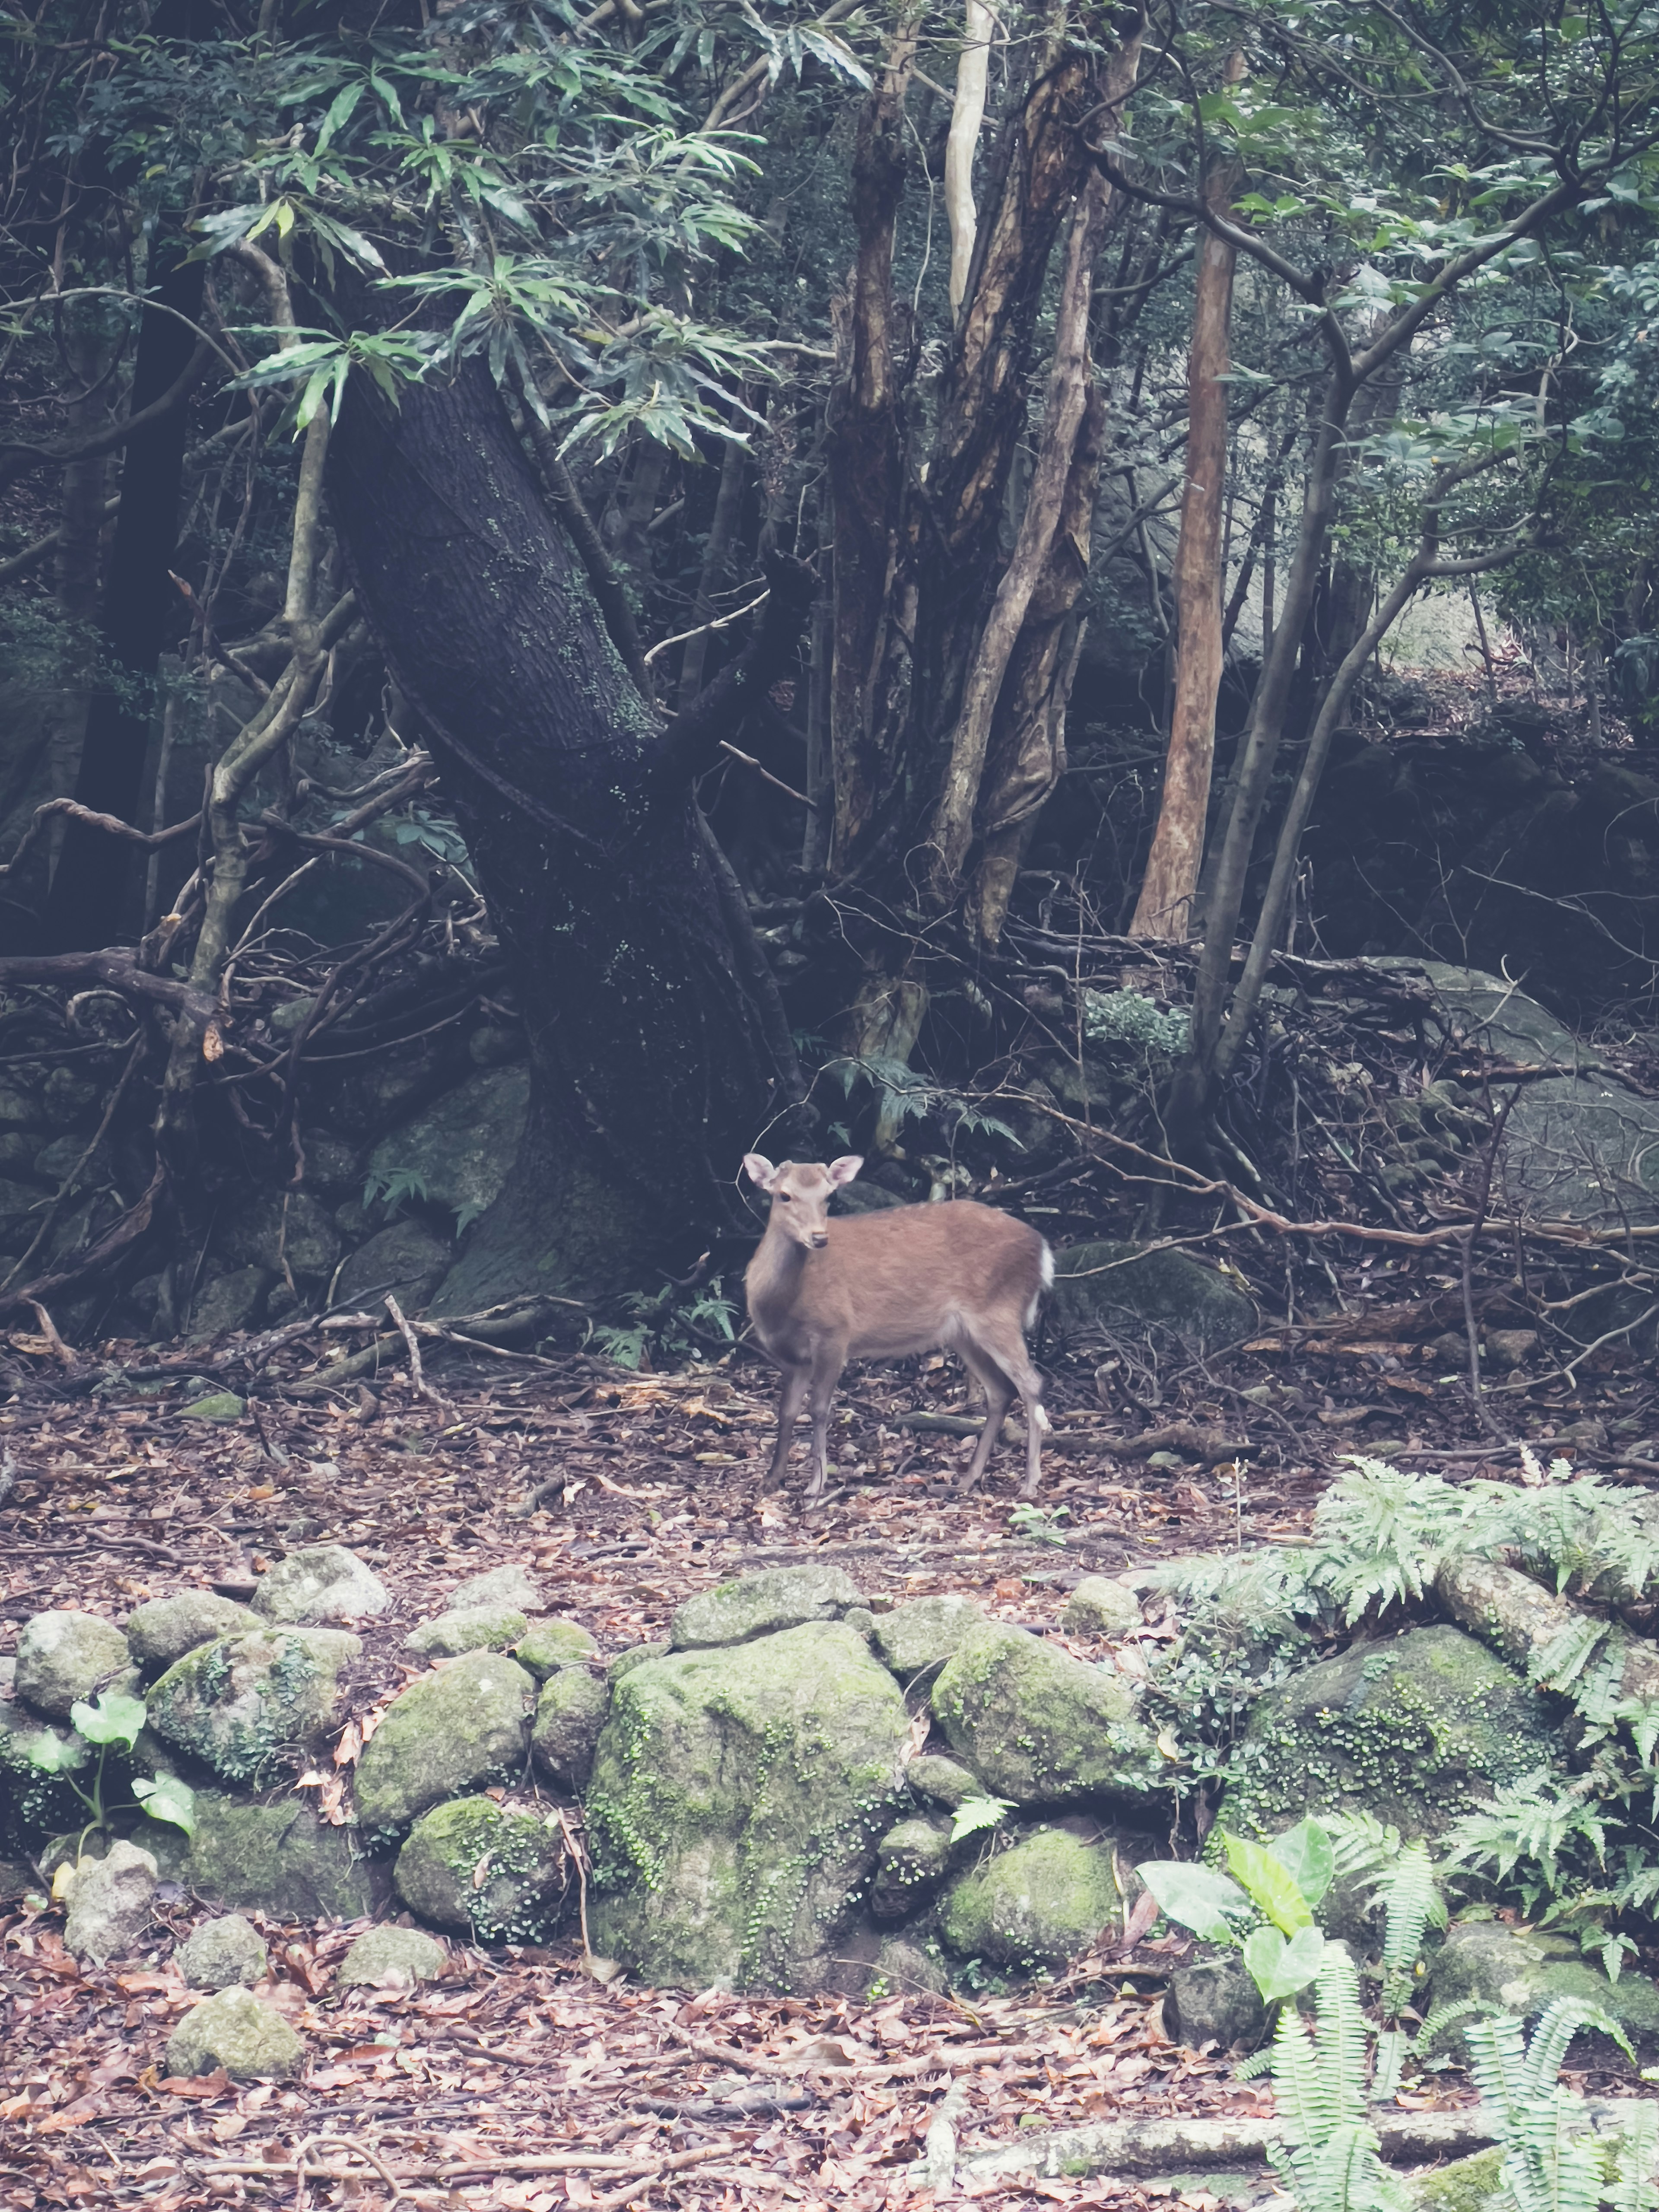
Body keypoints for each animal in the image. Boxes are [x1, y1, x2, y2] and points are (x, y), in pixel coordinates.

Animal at [739, 1159, 1053, 1504]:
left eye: (828, 1196)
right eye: (784, 1195)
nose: (819, 1237)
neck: (781, 1306)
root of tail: (1042, 1248)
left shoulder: (835, 1333)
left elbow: (819, 1409)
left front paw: (816, 1485)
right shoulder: (792, 1357)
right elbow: (786, 1411)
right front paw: (772, 1479)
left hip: (998, 1311)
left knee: (1032, 1382)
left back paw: (1030, 1483)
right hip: (964, 1332)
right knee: (1000, 1391)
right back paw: (968, 1479)